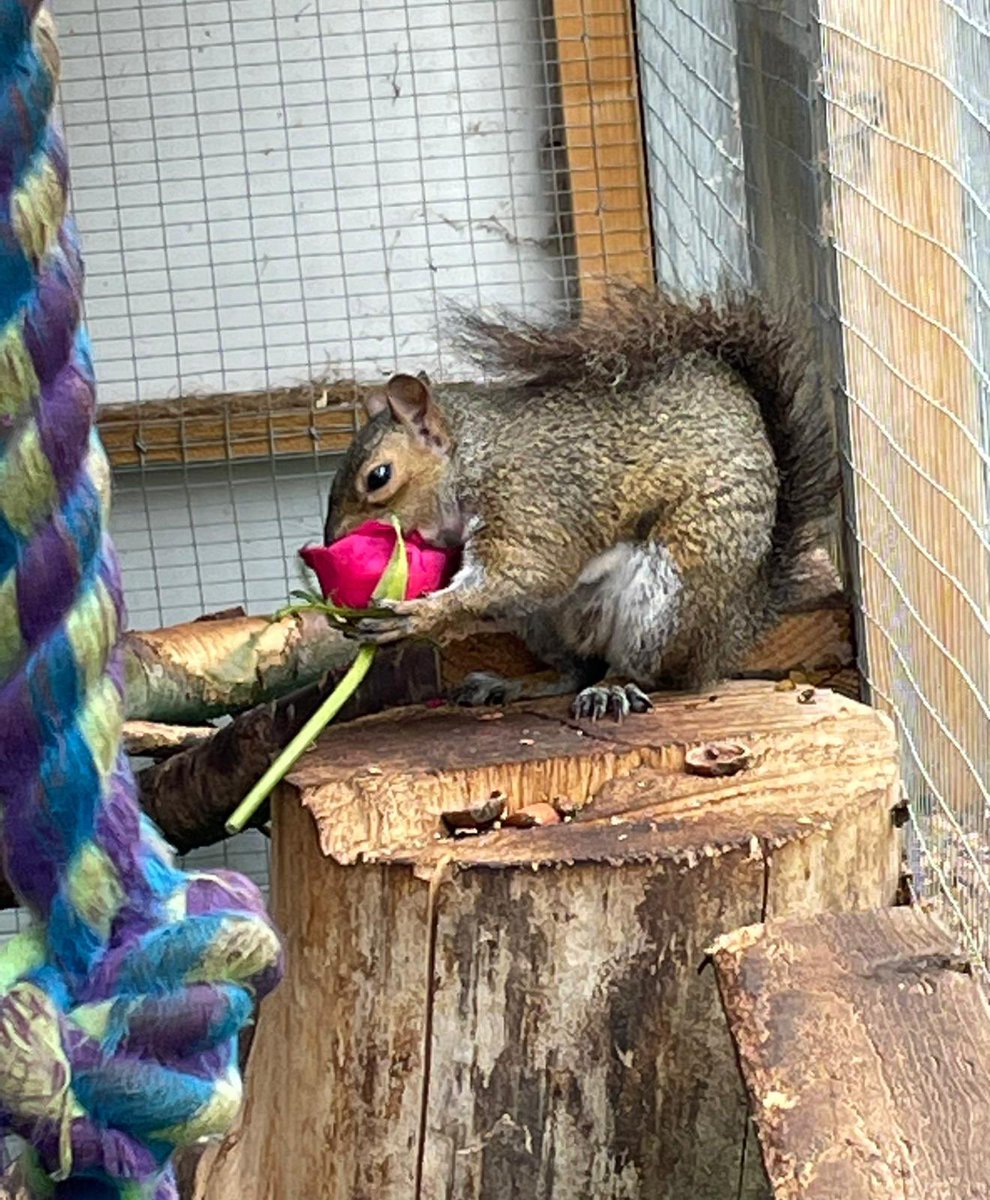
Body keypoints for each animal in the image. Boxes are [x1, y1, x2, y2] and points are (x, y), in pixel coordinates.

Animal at [324, 286, 839, 719]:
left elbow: (525, 575)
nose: (332, 541)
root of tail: (737, 626)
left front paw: (418, 617)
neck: (474, 456)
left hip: (670, 594)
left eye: (378, 477)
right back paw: (516, 685)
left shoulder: (531, 503)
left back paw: (614, 686)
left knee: (646, 668)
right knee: (574, 669)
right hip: (542, 622)